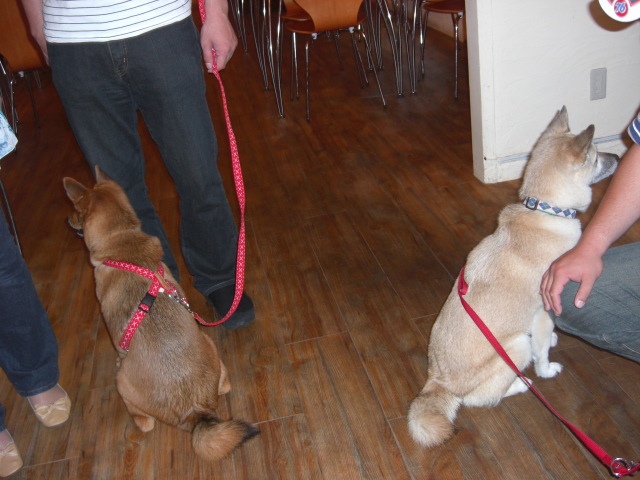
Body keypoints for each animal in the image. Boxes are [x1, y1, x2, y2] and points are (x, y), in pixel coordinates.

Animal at [63, 167, 258, 461]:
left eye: (77, 210)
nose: (68, 219)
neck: (122, 242)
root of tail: (194, 411)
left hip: (123, 384)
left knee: (144, 421)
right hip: (209, 344)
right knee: (224, 386)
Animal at [407, 107, 618, 448]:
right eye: (597, 156)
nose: (619, 155)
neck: (545, 211)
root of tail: (438, 381)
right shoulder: (544, 311)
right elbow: (542, 351)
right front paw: (547, 369)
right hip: (515, 347)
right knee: (480, 398)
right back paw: (521, 384)